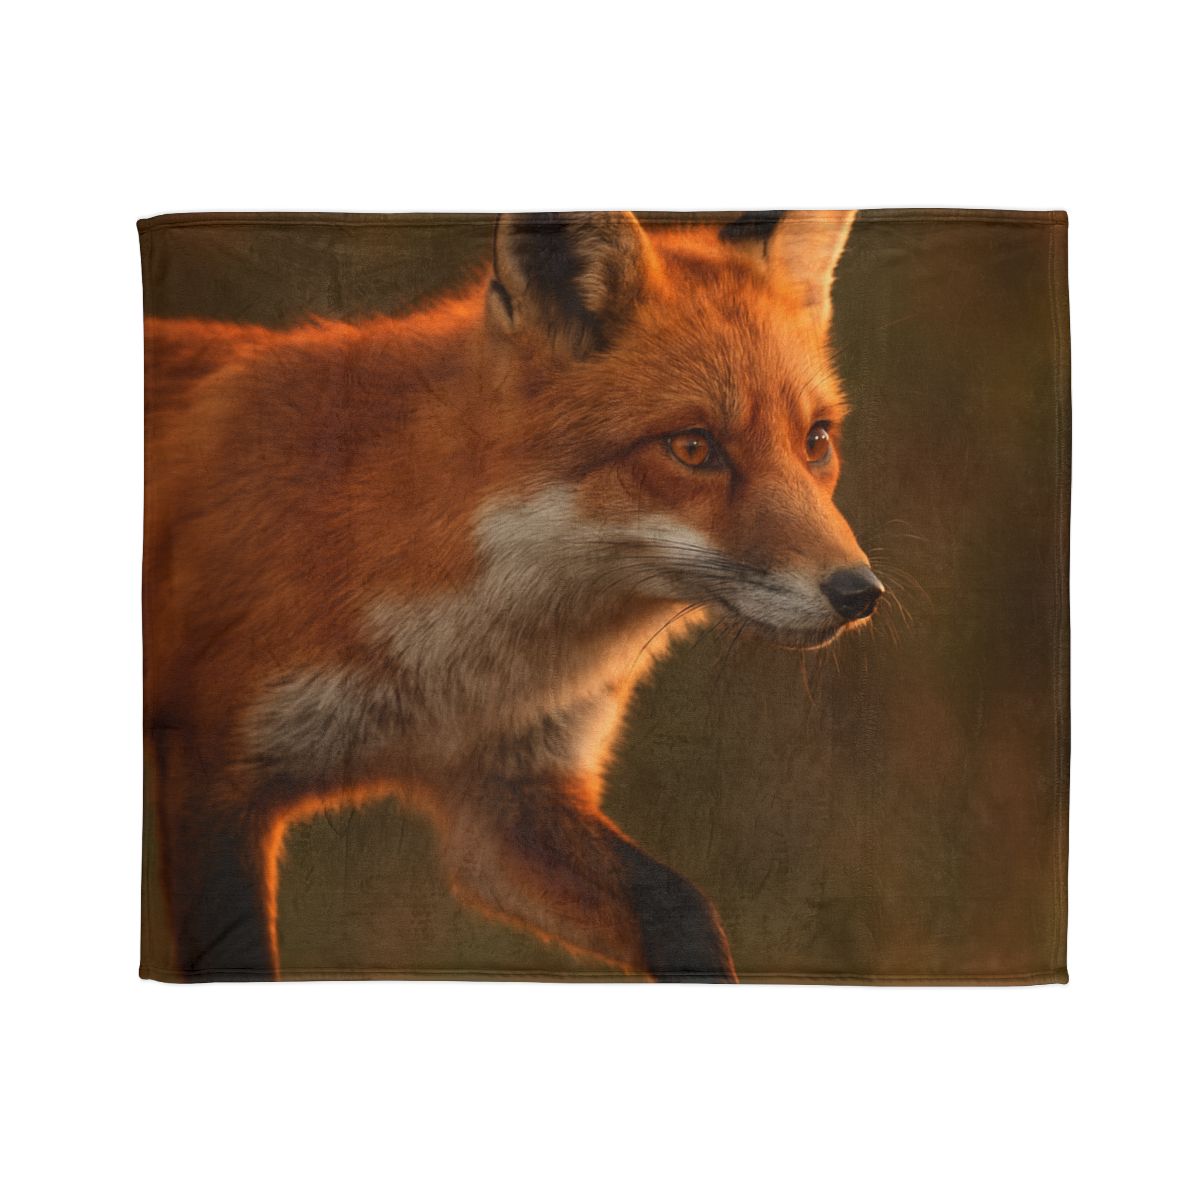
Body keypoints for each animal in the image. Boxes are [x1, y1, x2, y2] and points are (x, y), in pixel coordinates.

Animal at [142, 209, 884, 983]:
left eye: (816, 441)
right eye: (692, 448)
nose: (860, 593)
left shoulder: (505, 802)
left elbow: (682, 912)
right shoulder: (213, 774)